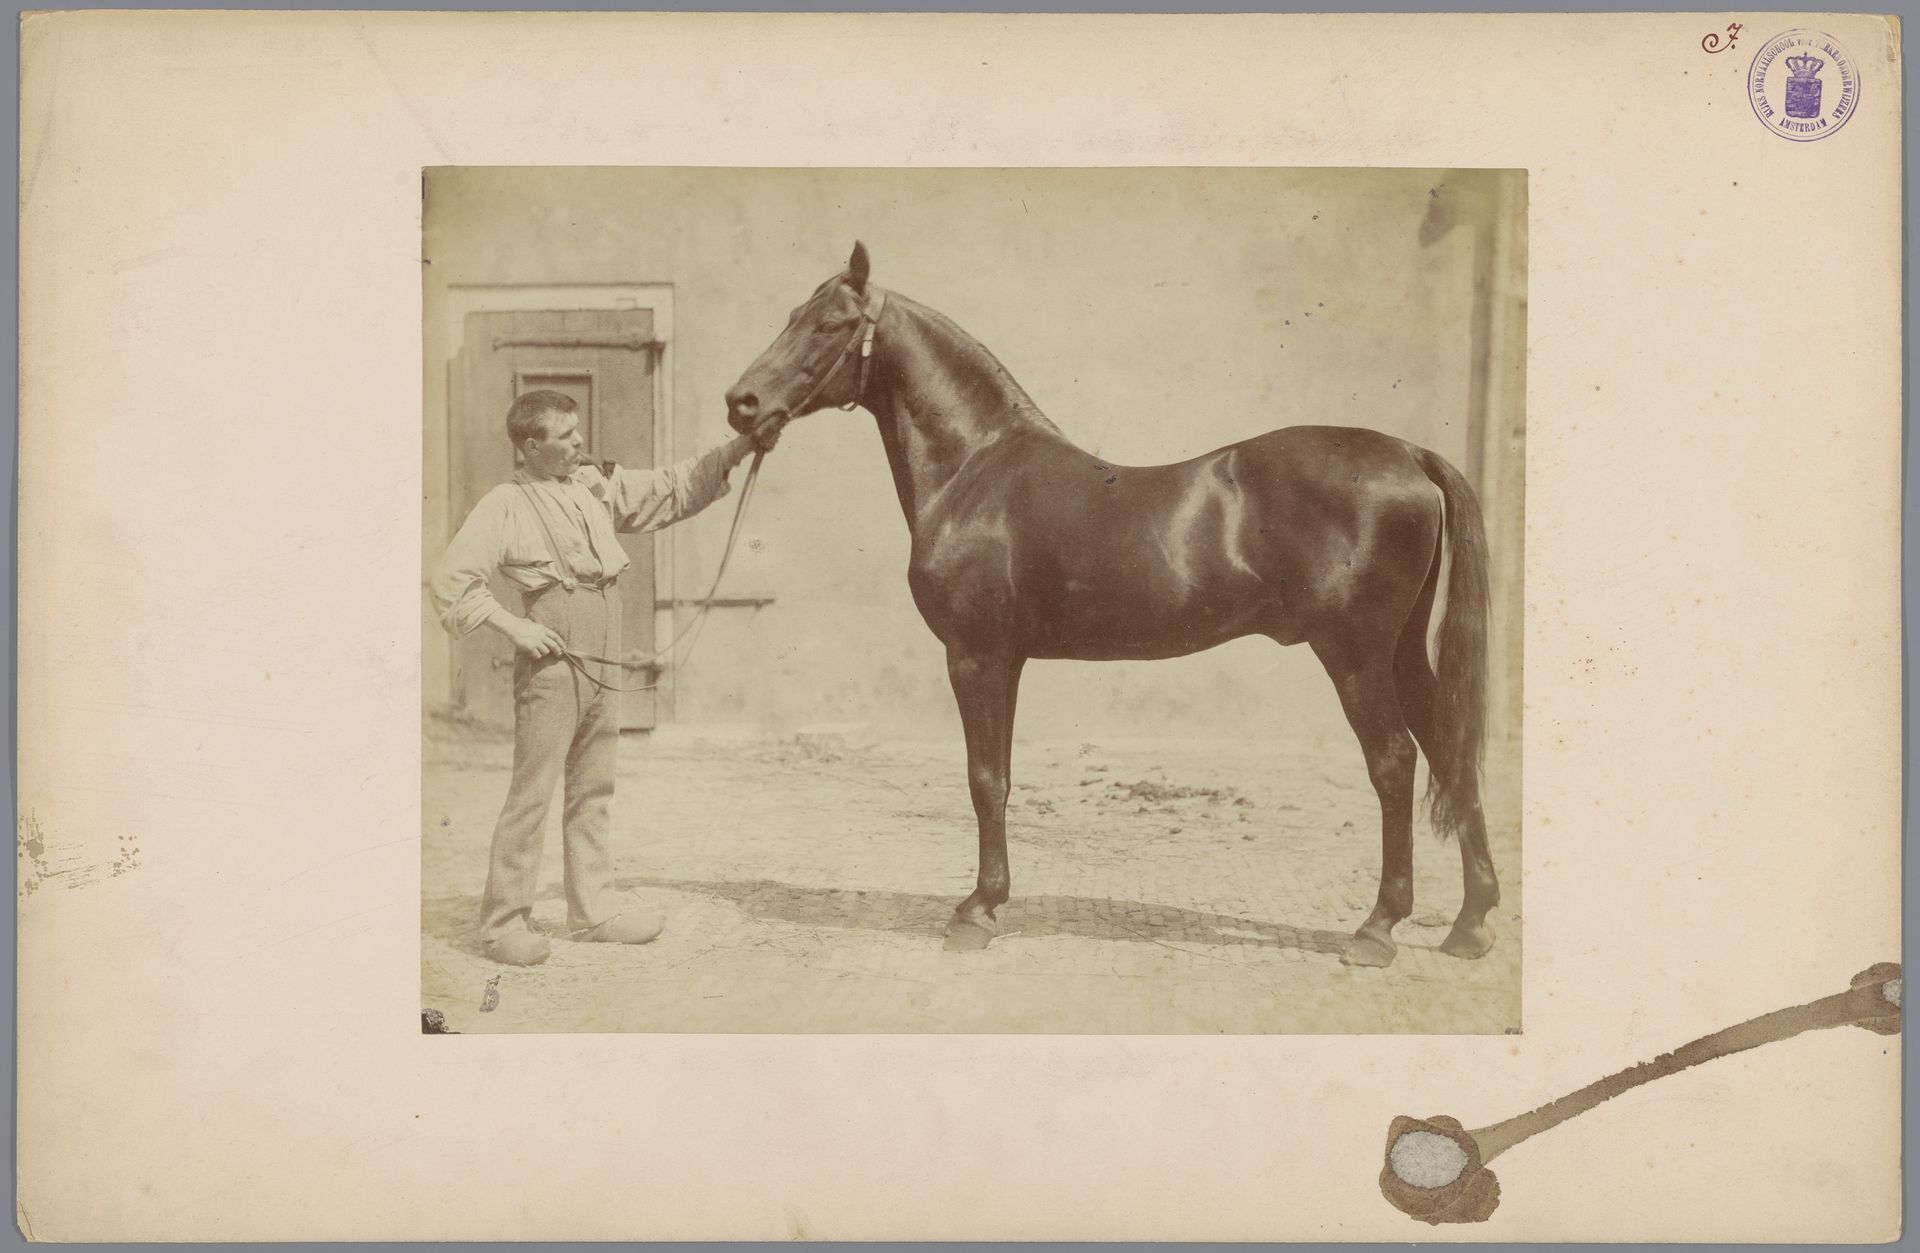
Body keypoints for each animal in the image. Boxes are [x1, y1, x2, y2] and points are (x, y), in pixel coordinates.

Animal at [724, 242, 1498, 969]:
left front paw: (977, 911)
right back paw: (1470, 924)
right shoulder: (1006, 661)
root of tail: (1409, 454)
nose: (742, 403)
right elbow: (1001, 777)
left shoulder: (976, 656)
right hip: (1400, 652)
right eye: (791, 316)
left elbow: (984, 780)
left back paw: (1377, 928)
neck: (977, 468)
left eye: (831, 324)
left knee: (1395, 761)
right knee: (1449, 748)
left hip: (1355, 654)